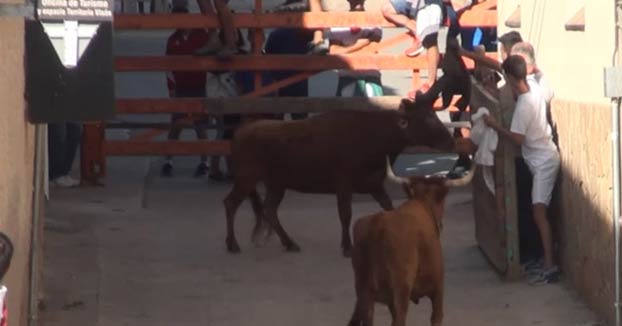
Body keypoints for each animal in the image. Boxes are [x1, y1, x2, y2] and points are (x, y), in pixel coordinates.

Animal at [222, 98, 456, 256]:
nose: (451, 141)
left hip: (276, 183)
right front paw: (347, 247)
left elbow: (388, 206)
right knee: (231, 202)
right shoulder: (344, 183)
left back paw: (289, 243)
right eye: (427, 118)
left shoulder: (373, 183)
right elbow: (345, 213)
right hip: (247, 176)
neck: (375, 140)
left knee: (269, 209)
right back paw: (232, 244)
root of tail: (240, 132)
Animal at [348, 168, 476, 326]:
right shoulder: (438, 288)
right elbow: (436, 317)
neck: (422, 203)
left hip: (365, 295)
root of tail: (378, 223)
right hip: (400, 292)